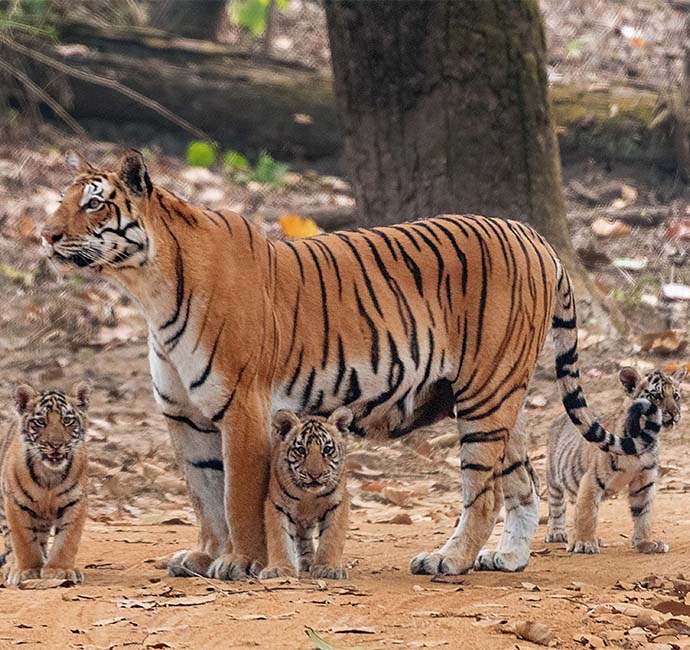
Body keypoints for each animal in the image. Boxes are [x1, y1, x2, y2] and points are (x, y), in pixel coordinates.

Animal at [41, 151, 644, 576]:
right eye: (62, 200)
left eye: (94, 203)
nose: (46, 235)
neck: (148, 287)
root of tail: (536, 237)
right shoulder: (184, 417)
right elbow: (203, 495)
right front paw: (204, 557)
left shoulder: (241, 408)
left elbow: (237, 496)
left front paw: (240, 563)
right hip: (493, 399)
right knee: (522, 483)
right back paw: (507, 558)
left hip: (485, 396)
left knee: (485, 491)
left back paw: (449, 560)